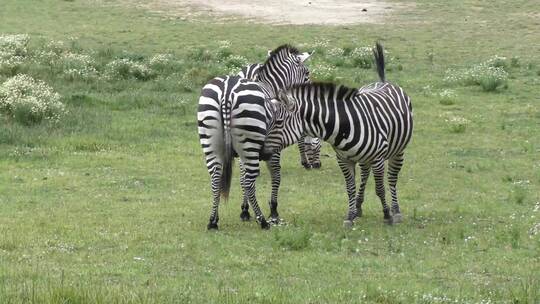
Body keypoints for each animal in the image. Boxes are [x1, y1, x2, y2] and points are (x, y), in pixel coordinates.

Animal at [197, 44, 312, 230]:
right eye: (307, 73)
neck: (270, 85)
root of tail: (227, 91)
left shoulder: (243, 150)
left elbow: (242, 178)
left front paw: (244, 210)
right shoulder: (273, 145)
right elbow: (275, 174)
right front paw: (273, 210)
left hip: (211, 139)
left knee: (215, 177)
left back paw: (213, 221)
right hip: (249, 139)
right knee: (250, 180)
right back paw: (263, 220)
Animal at [266, 42, 414, 226]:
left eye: (278, 122)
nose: (262, 151)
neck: (344, 125)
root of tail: (383, 82)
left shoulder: (378, 159)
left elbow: (380, 188)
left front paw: (387, 215)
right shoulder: (344, 160)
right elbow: (350, 188)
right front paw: (350, 215)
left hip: (398, 151)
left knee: (392, 179)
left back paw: (396, 210)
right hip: (365, 158)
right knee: (365, 174)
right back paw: (359, 206)